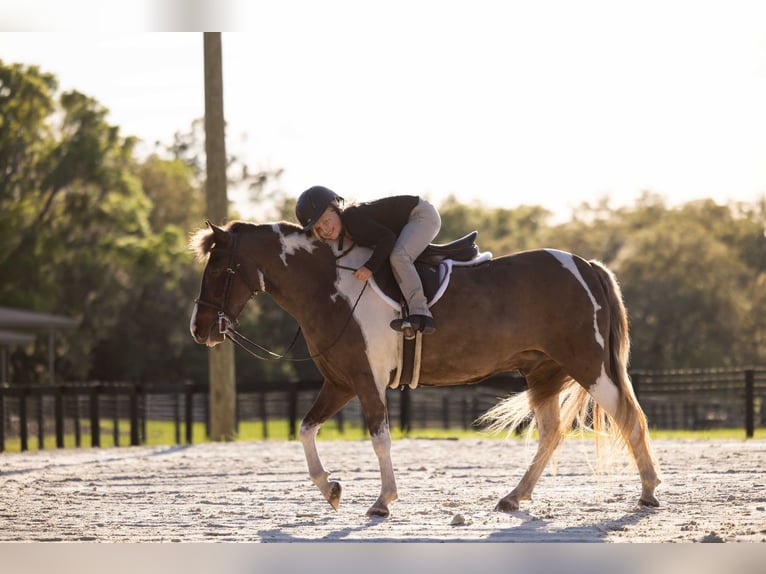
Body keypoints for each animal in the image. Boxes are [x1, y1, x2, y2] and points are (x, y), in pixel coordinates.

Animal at [189, 219, 661, 517]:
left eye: (219, 268)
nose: (199, 329)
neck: (331, 285)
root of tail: (585, 265)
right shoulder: (340, 383)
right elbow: (306, 430)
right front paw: (331, 489)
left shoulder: (366, 381)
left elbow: (379, 438)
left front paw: (382, 501)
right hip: (543, 372)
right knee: (551, 432)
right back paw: (514, 496)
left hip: (588, 365)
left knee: (629, 418)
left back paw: (648, 492)